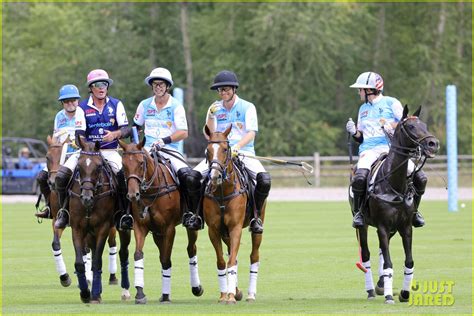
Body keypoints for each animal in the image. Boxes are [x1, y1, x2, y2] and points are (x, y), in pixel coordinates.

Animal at [43, 135, 123, 288]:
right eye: (47, 157)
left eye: (98, 167)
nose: (53, 182)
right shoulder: (66, 221)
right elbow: (57, 244)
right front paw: (65, 277)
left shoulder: (102, 225)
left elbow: (95, 255)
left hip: (110, 226)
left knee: (112, 243)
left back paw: (112, 277)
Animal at [68, 138, 131, 304]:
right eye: (79, 166)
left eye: (98, 167)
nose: (86, 198)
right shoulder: (77, 227)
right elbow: (80, 262)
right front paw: (85, 293)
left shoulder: (103, 227)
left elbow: (97, 261)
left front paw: (95, 294)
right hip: (90, 232)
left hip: (122, 227)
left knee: (123, 254)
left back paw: (125, 291)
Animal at [118, 138, 204, 304]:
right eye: (124, 164)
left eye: (141, 163)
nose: (132, 195)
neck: (151, 191)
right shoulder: (140, 226)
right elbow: (138, 255)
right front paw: (140, 294)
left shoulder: (169, 228)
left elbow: (166, 260)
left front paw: (165, 296)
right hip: (157, 233)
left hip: (188, 226)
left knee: (191, 249)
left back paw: (196, 288)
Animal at [203, 124, 264, 304]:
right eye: (208, 150)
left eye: (225, 149)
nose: (215, 177)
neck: (223, 191)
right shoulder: (214, 230)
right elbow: (222, 261)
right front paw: (225, 294)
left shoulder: (235, 227)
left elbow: (231, 261)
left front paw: (230, 296)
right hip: (225, 233)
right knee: (232, 255)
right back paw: (236, 291)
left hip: (257, 225)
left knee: (254, 256)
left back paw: (250, 294)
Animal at [354, 106, 438, 304]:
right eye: (411, 126)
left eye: (424, 125)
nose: (433, 143)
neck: (394, 185)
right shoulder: (383, 226)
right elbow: (388, 262)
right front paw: (389, 296)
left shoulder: (406, 227)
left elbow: (409, 262)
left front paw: (404, 293)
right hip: (365, 225)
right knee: (367, 254)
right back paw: (371, 290)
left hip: (393, 228)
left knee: (380, 251)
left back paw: (380, 284)